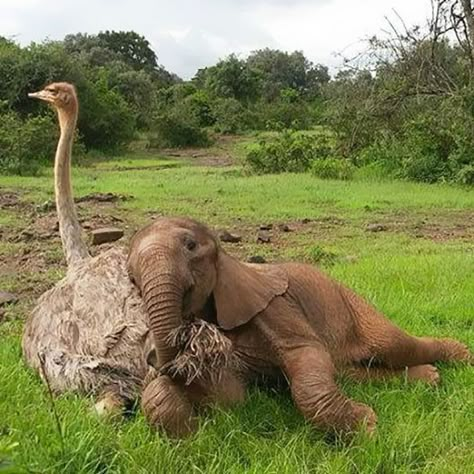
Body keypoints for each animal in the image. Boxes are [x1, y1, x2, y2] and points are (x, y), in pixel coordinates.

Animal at [128, 218, 472, 436]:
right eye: (131, 276)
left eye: (190, 246)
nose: (153, 359)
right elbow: (230, 395)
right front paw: (192, 433)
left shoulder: (276, 308)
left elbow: (306, 356)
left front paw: (368, 429)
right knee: (346, 370)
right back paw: (429, 377)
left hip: (352, 305)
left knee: (394, 345)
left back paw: (460, 356)